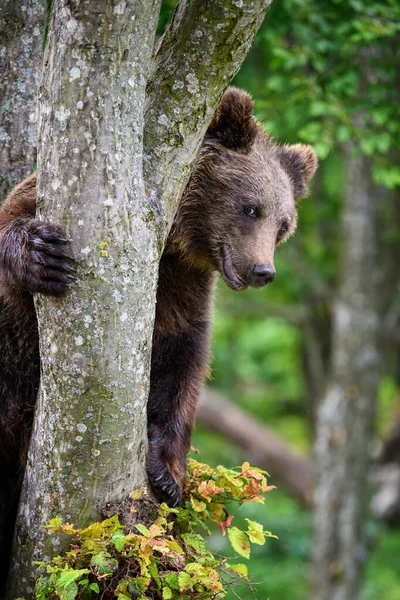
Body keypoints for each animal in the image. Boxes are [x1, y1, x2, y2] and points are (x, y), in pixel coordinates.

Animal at [0, 86, 318, 580]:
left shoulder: (183, 289)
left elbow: (182, 362)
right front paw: (42, 256)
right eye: (252, 208)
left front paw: (168, 476)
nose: (263, 271)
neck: (173, 241)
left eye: (283, 225)